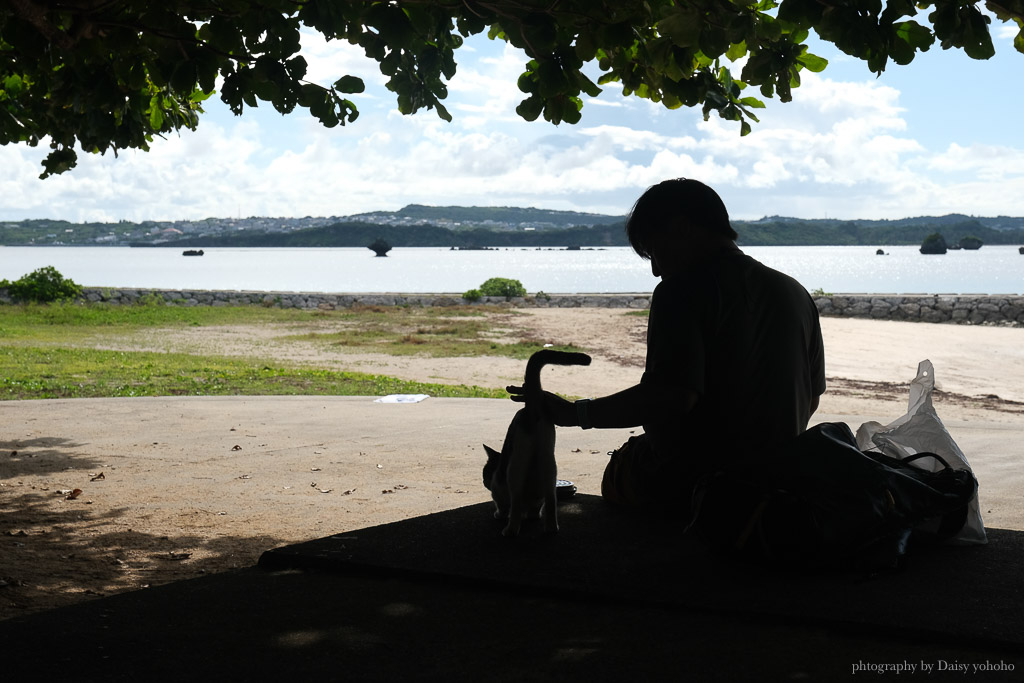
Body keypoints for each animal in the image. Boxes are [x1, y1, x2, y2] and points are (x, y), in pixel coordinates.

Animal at [481, 350, 593, 536]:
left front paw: (499, 515)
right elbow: (537, 509)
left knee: (516, 503)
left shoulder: (498, 490)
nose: (484, 482)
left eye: (485, 474)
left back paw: (510, 530)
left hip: (516, 467)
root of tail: (531, 408)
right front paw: (534, 517)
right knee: (551, 501)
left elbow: (503, 507)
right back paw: (551, 528)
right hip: (549, 466)